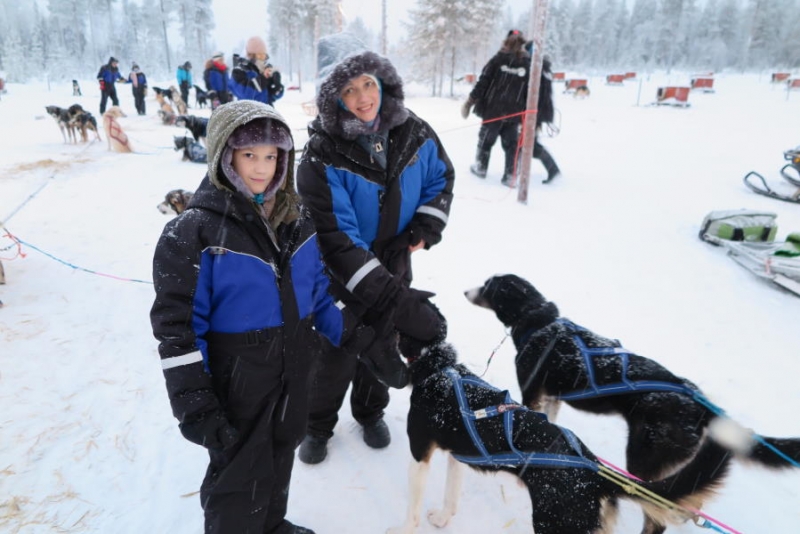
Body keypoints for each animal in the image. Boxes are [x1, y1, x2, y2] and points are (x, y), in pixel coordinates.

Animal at [384, 340, 728, 534]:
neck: (442, 371)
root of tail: (596, 473)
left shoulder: (420, 454)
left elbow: (412, 510)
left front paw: (402, 529)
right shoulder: (457, 454)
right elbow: (451, 497)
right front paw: (443, 519)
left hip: (554, 524)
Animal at [462, 276, 800, 534]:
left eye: (488, 285)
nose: (465, 290)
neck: (539, 321)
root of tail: (697, 400)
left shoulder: (532, 391)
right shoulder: (552, 398)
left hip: (643, 459)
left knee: (655, 509)